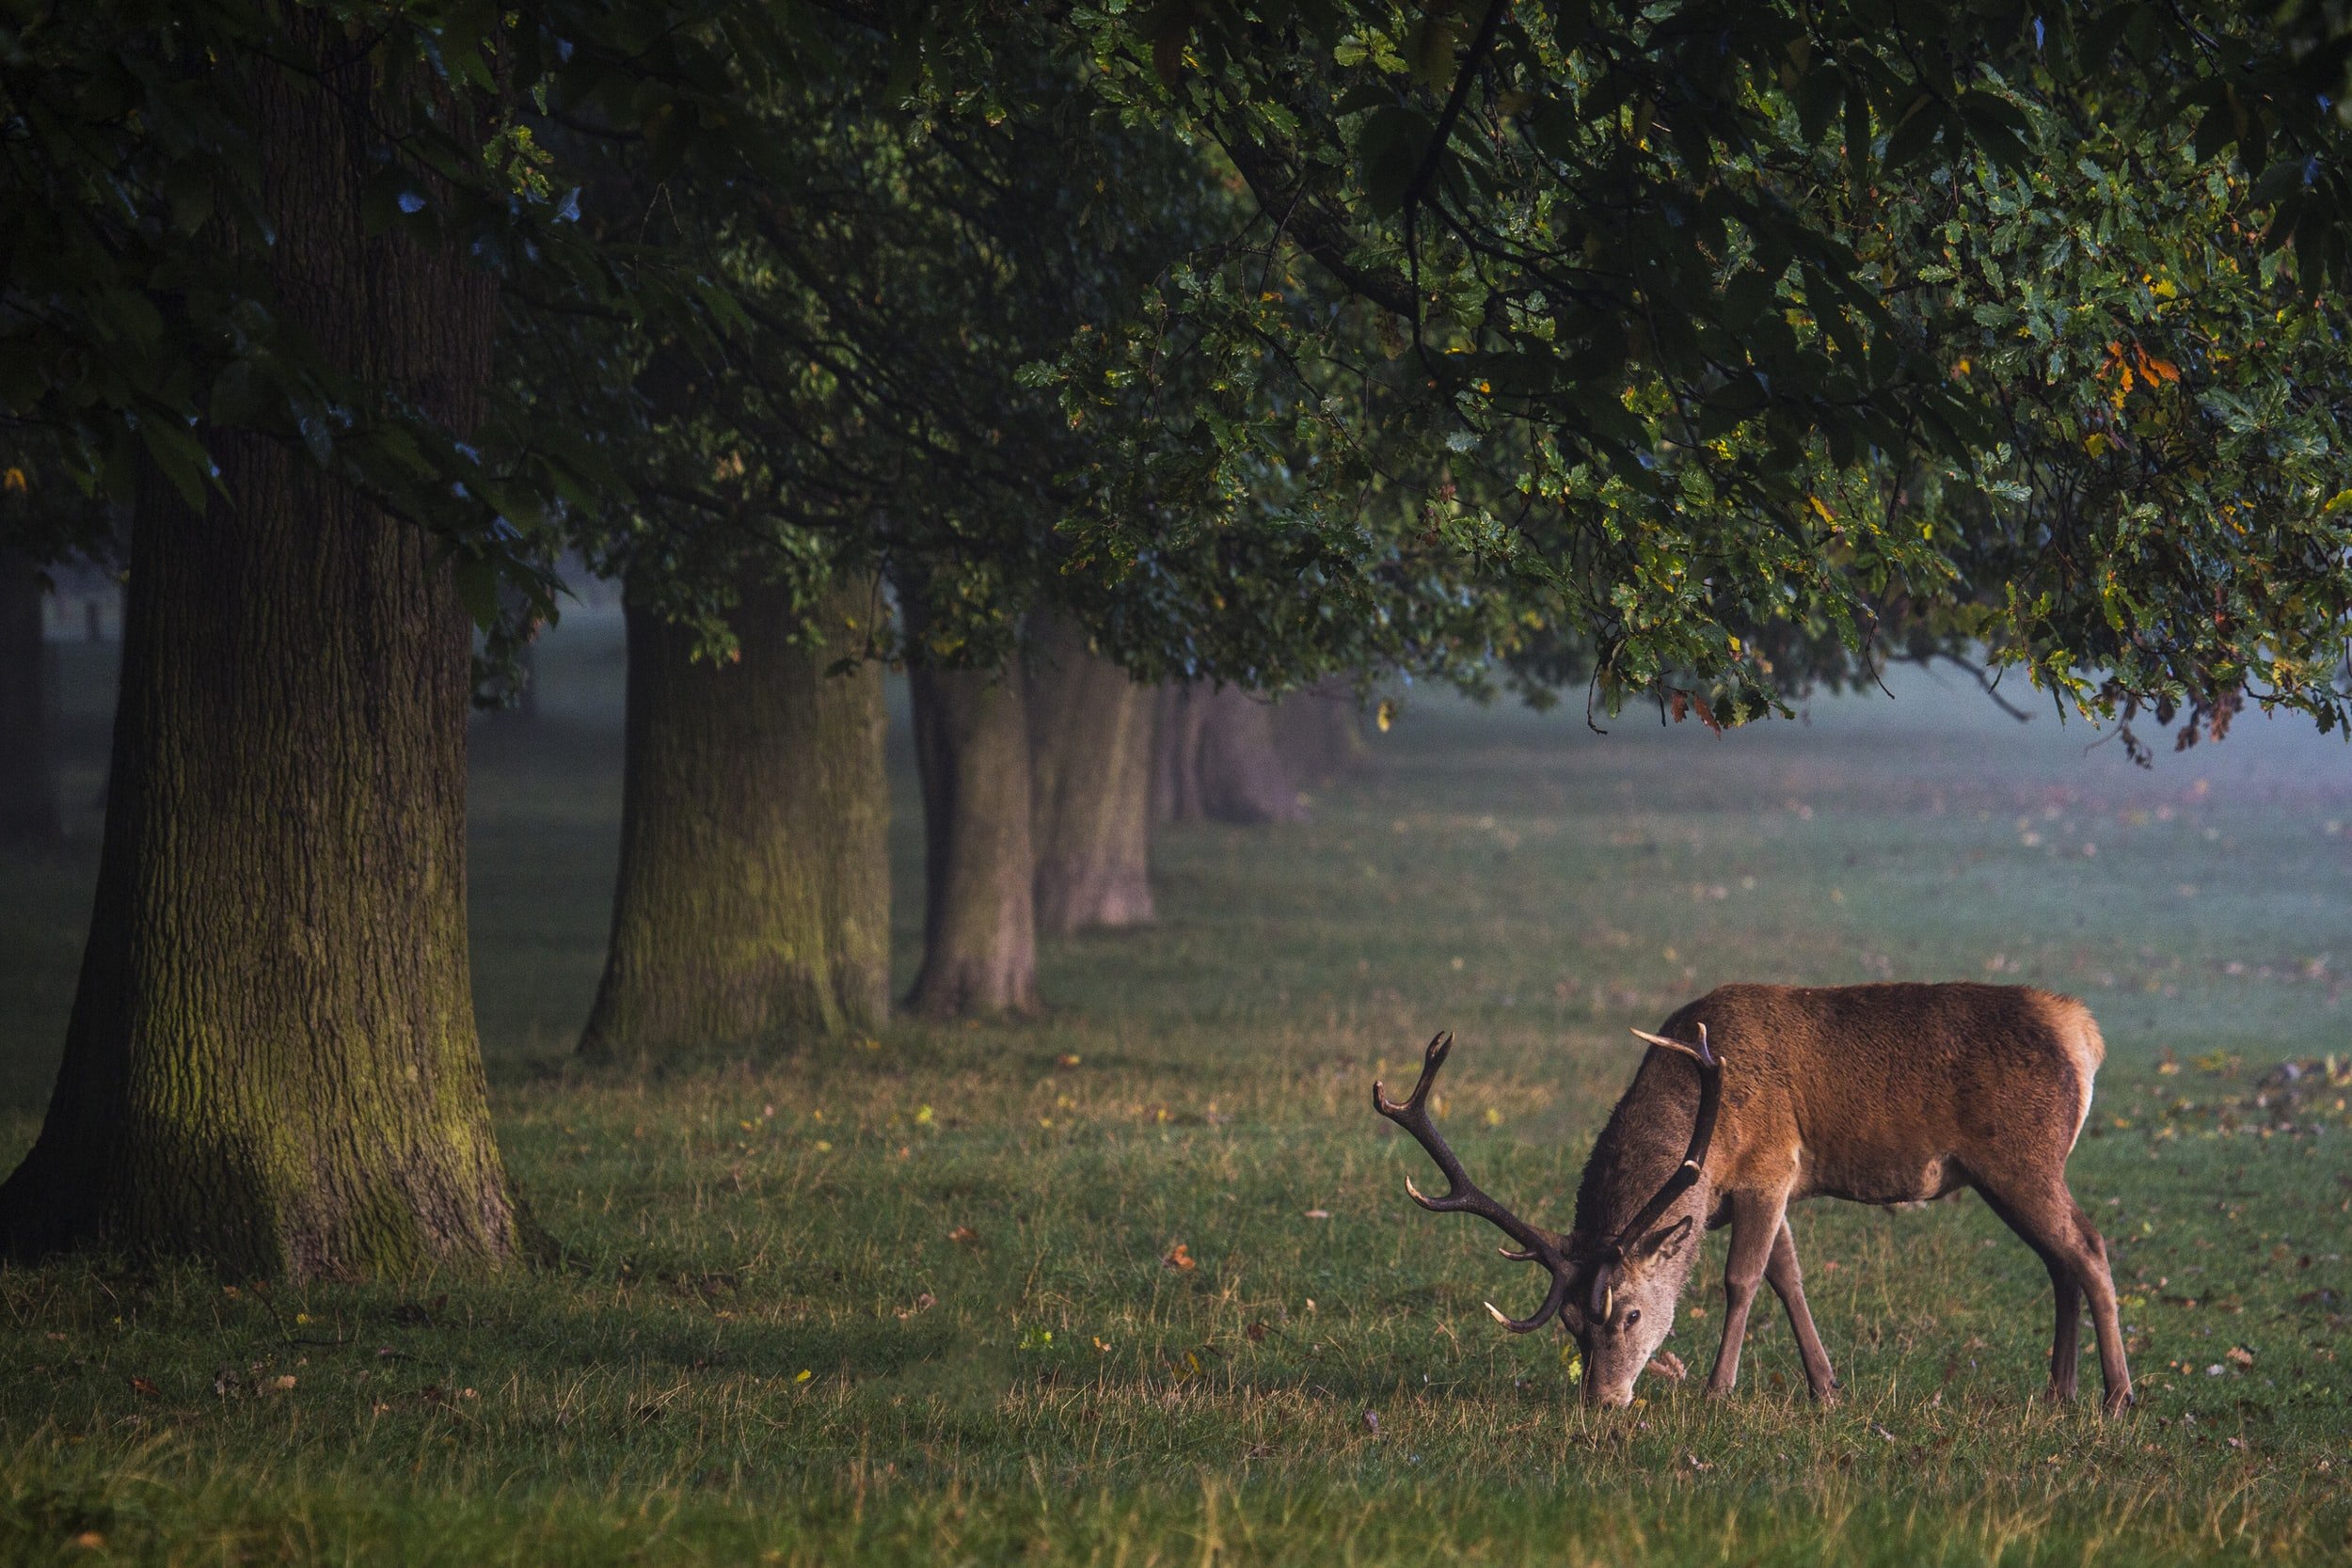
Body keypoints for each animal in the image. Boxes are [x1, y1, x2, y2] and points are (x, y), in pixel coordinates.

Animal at [1373, 983, 2133, 1414]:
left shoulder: (1770, 1165)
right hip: (2007, 1173)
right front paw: (1826, 1388)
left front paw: (1719, 1389)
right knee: (2059, 1261)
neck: (1712, 1133)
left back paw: (2117, 1394)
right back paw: (2060, 1389)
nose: (1603, 1400)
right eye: (1570, 1324)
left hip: (2024, 1157)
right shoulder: (1762, 1189)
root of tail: (2085, 1033)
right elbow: (1786, 1276)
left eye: (1630, 1314)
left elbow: (1742, 1279)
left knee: (2089, 1246)